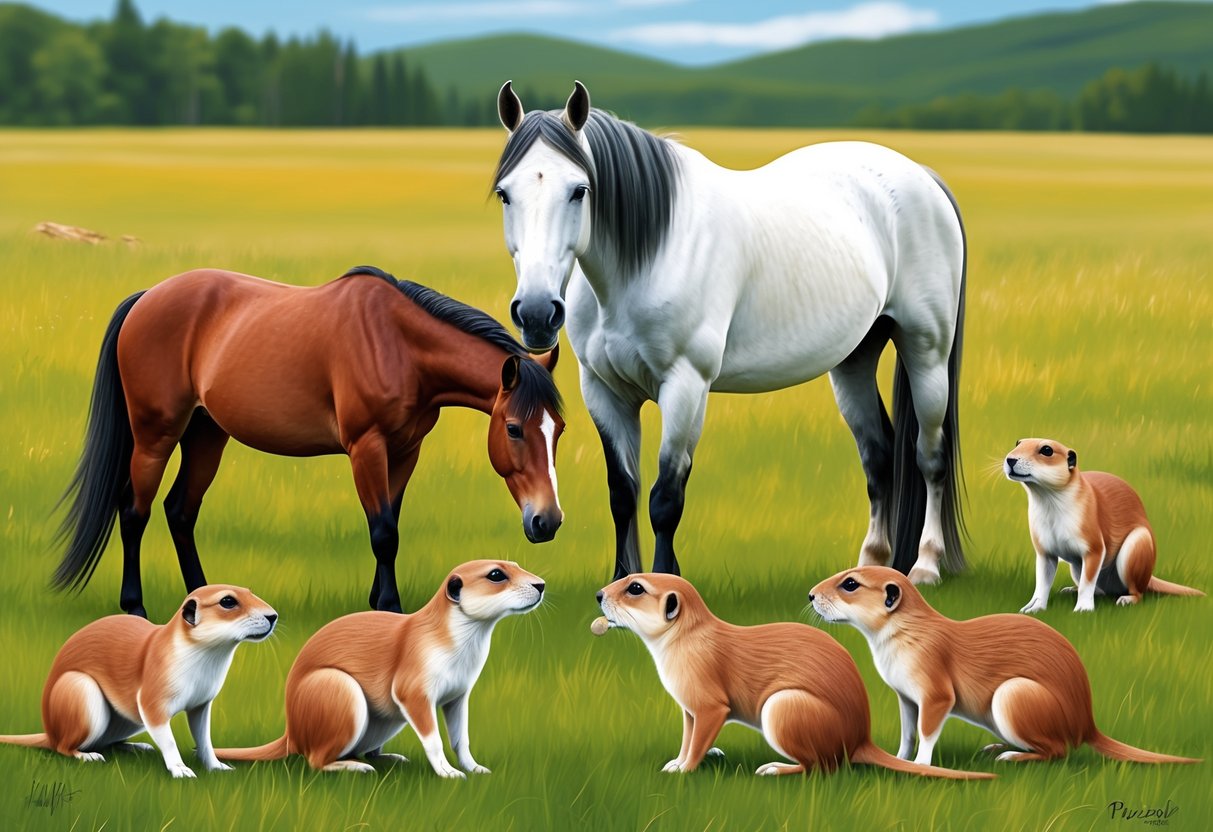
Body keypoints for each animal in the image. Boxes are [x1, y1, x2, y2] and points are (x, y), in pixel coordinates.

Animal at [54, 266, 565, 618]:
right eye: (514, 428)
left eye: (558, 428)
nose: (547, 521)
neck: (398, 344)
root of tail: (147, 297)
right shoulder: (366, 447)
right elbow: (383, 531)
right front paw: (391, 608)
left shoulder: (405, 451)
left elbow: (391, 524)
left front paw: (377, 603)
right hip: (155, 435)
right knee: (134, 513)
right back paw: (135, 607)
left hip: (206, 434)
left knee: (180, 510)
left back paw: (203, 599)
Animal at [492, 81, 965, 584]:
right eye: (504, 194)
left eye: (579, 190)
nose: (537, 313)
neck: (649, 256)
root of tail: (921, 175)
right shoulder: (603, 389)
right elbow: (622, 493)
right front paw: (620, 584)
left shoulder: (686, 386)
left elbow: (665, 498)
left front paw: (662, 585)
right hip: (855, 359)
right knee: (879, 457)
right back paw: (871, 565)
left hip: (927, 351)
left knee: (929, 456)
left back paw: (925, 566)